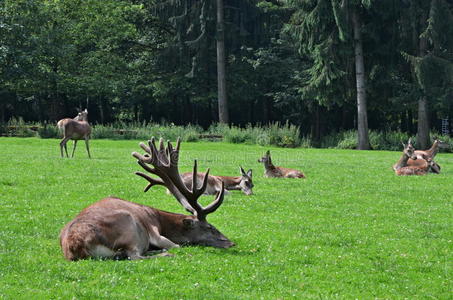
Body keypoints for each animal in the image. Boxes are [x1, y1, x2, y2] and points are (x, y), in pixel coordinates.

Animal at [59, 137, 233, 260]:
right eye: (210, 227)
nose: (231, 242)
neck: (159, 219)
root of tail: (75, 246)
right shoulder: (153, 230)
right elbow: (176, 245)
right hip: (128, 226)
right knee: (134, 256)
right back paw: (166, 253)